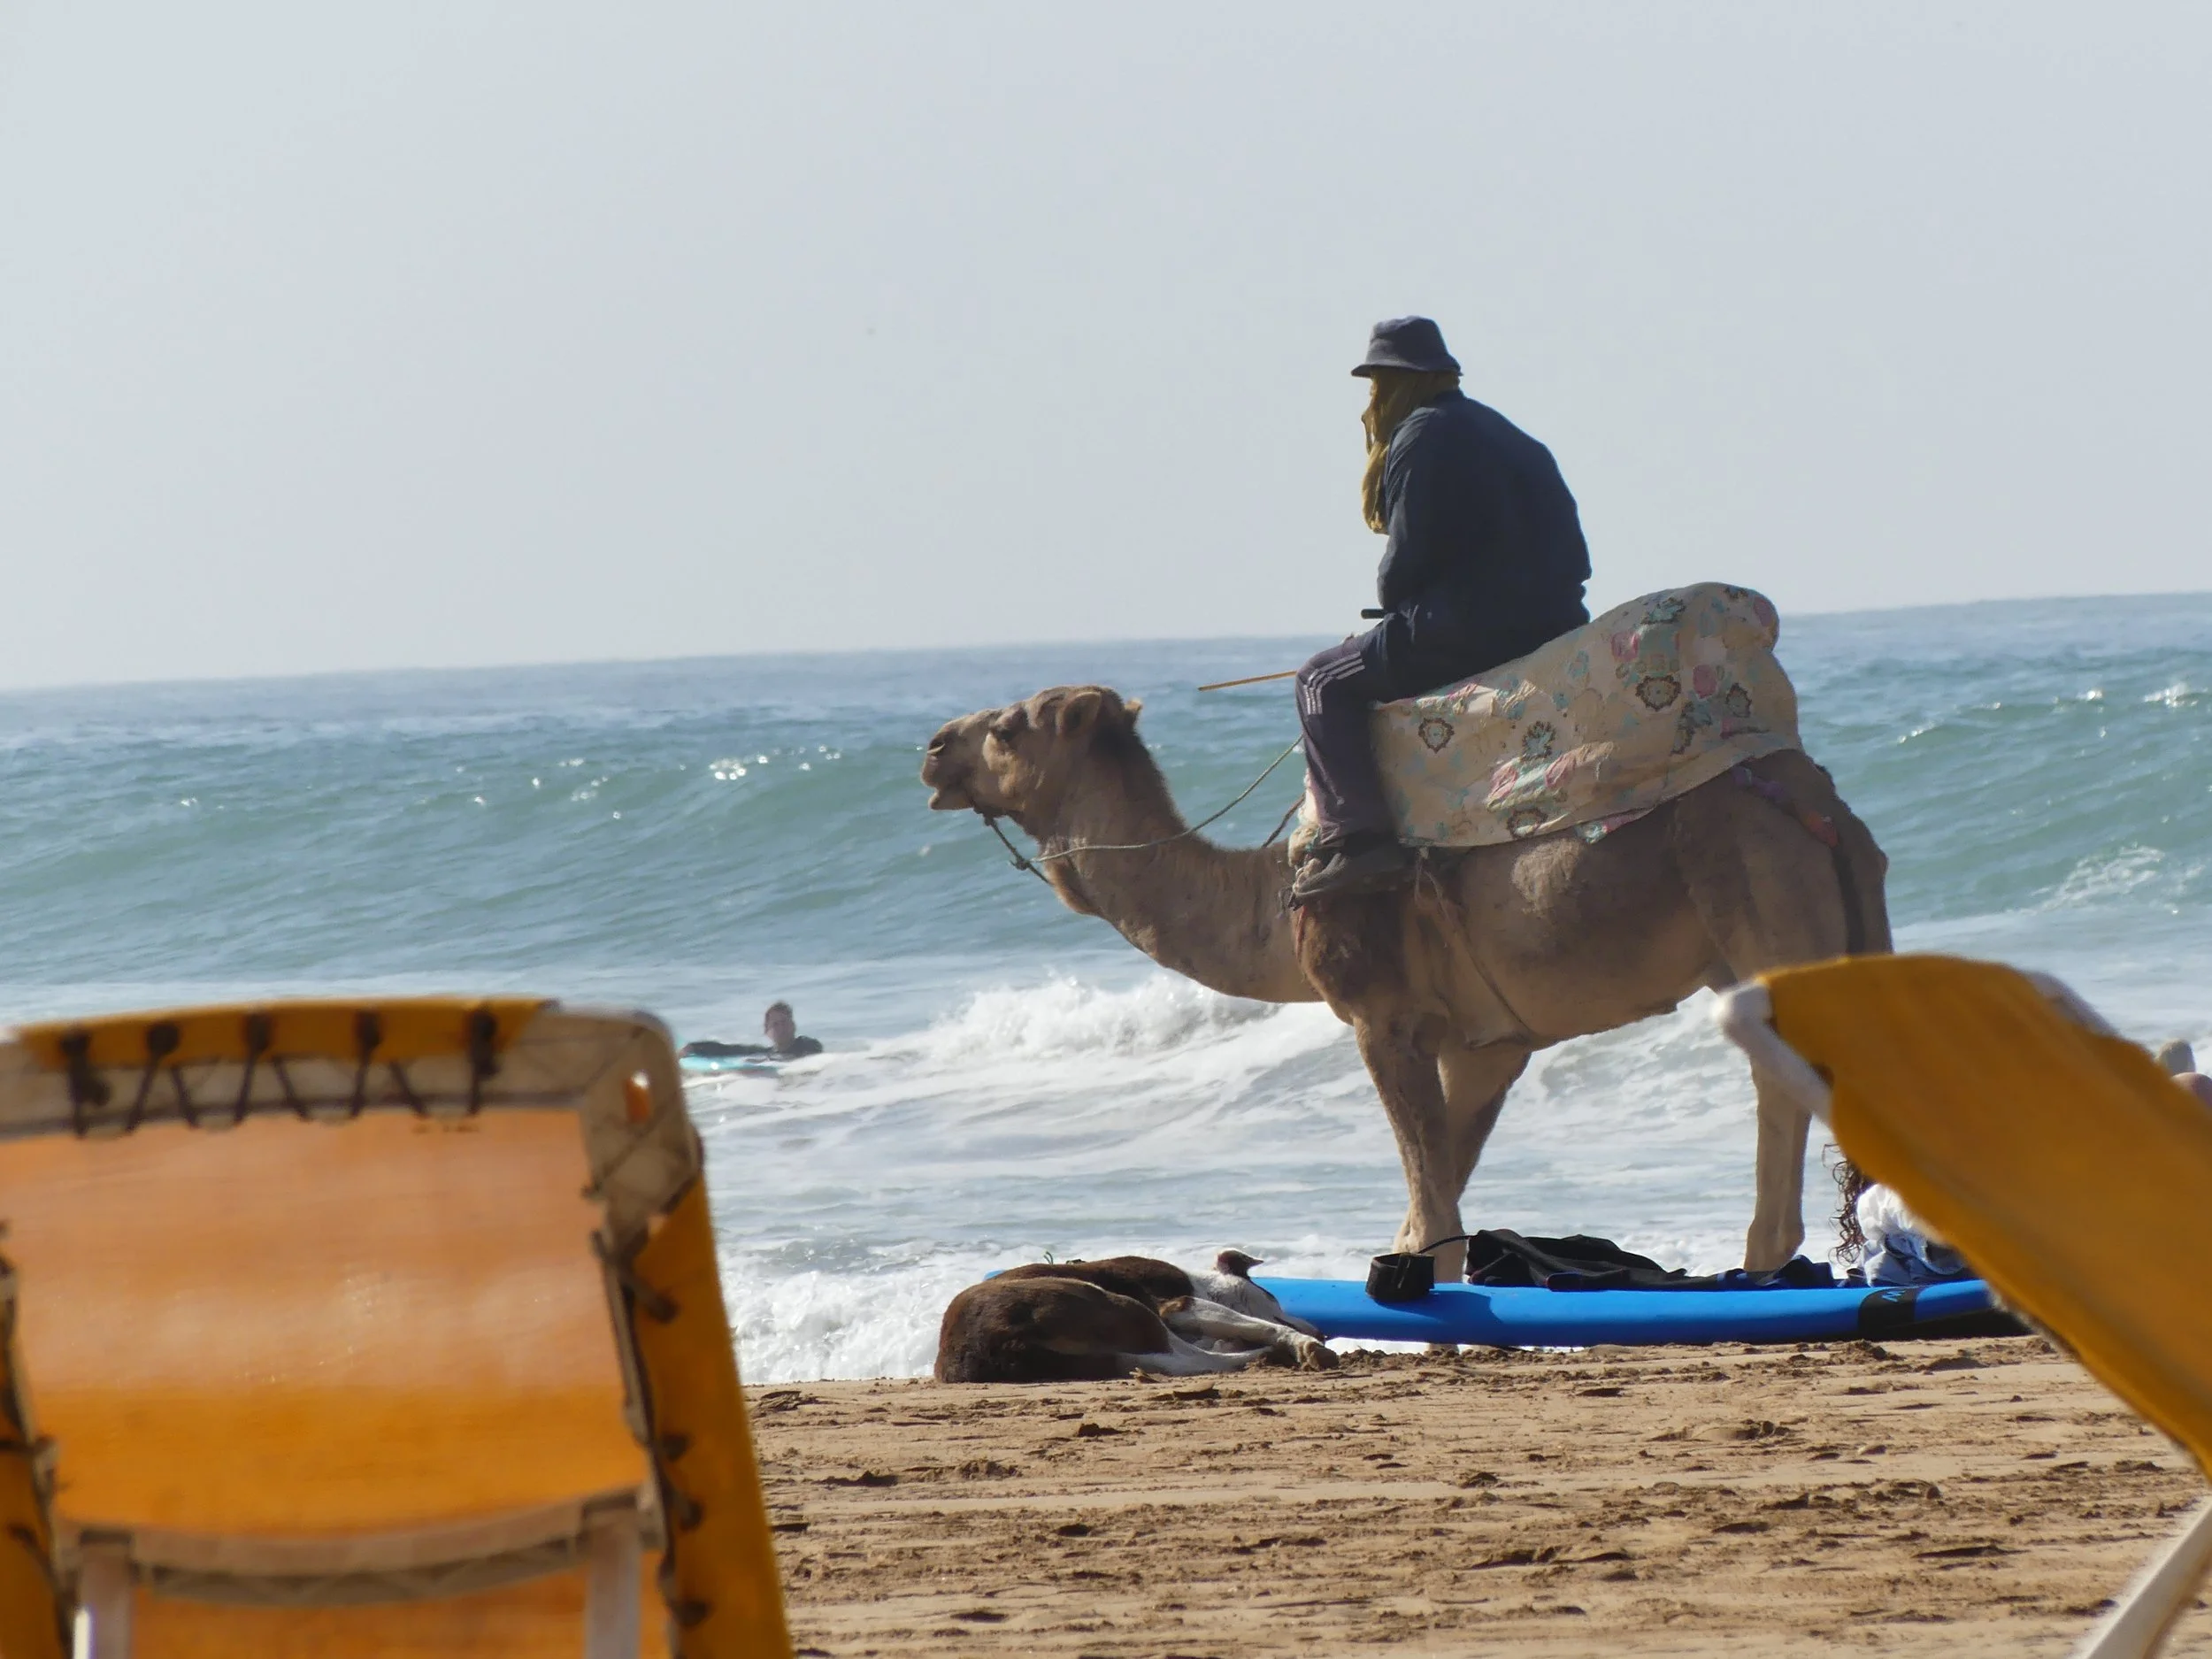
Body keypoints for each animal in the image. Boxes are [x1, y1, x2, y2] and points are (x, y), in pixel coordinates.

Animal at [922, 685, 1892, 1281]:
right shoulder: (1491, 1043)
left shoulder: (1378, 1015)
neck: (1274, 901)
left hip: (1754, 884)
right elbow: (1436, 1190)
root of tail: (1823, 803)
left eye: (1006, 729)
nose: (931, 749)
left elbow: (1429, 1201)